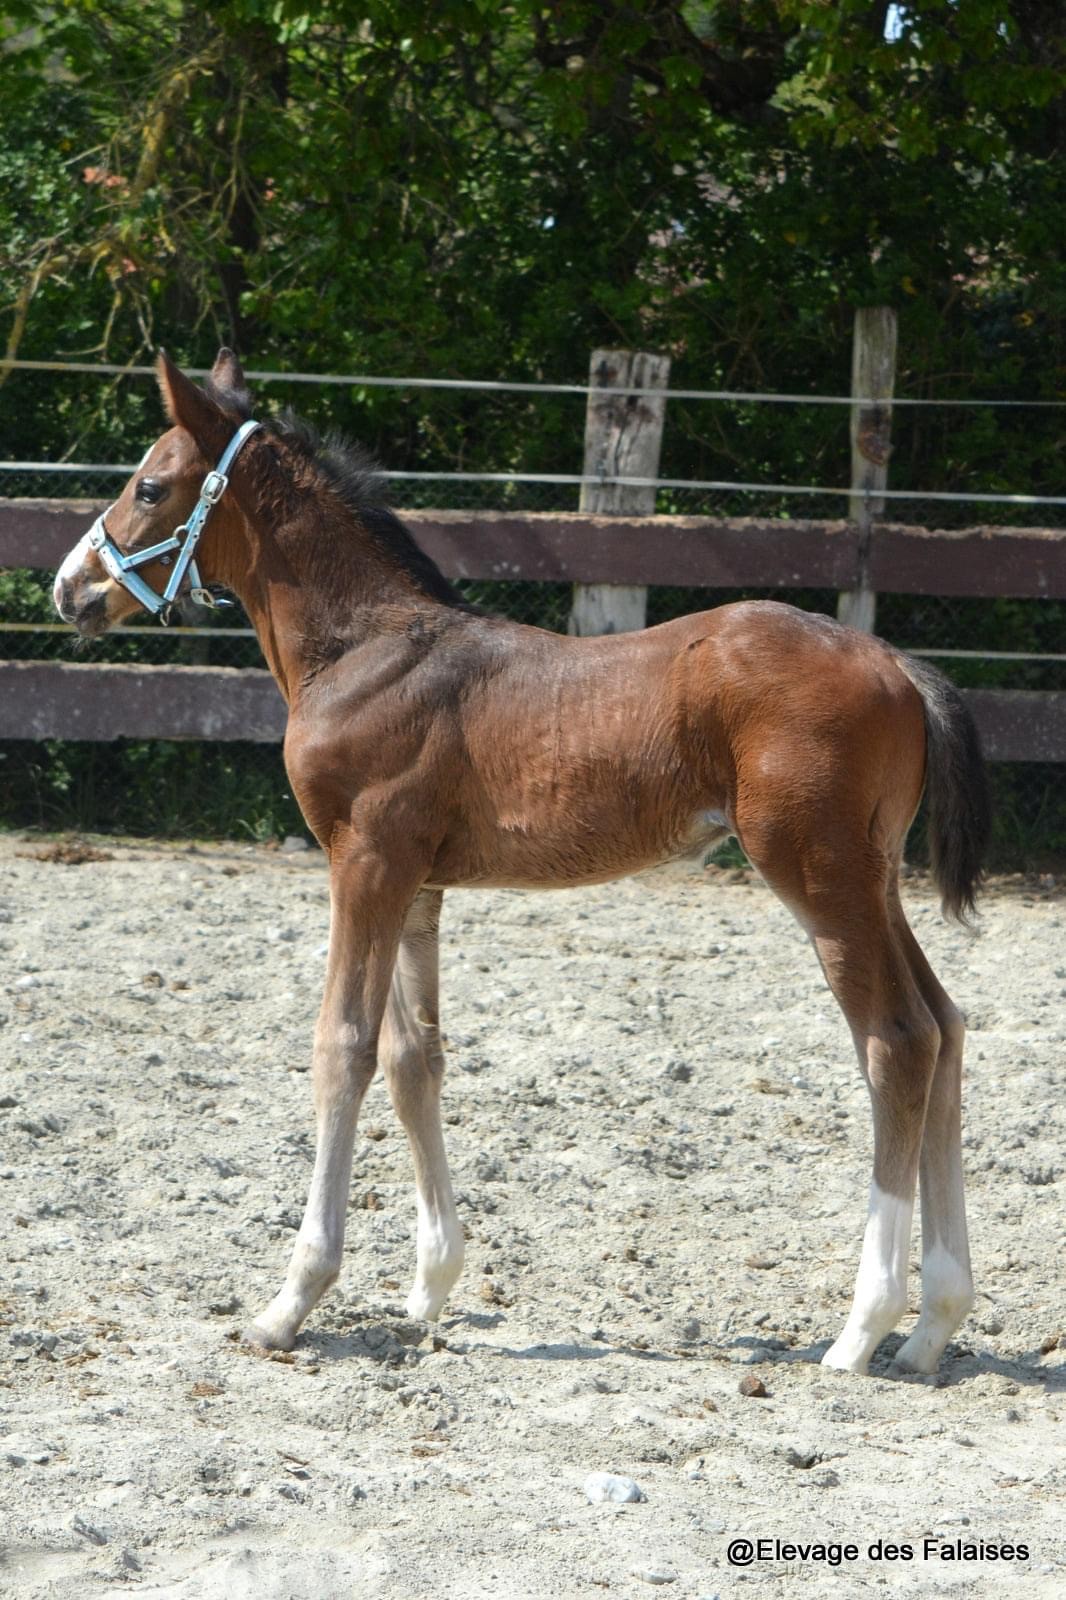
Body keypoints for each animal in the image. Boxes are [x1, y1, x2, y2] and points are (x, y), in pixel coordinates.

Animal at [52, 350, 985, 1376]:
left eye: (150, 487)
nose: (67, 588)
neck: (366, 650)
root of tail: (897, 664)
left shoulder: (364, 863)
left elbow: (343, 1046)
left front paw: (289, 1302)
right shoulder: (418, 884)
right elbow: (413, 1055)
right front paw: (429, 1289)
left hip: (817, 875)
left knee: (897, 1042)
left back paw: (863, 1328)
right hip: (873, 877)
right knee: (945, 1026)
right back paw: (933, 1325)